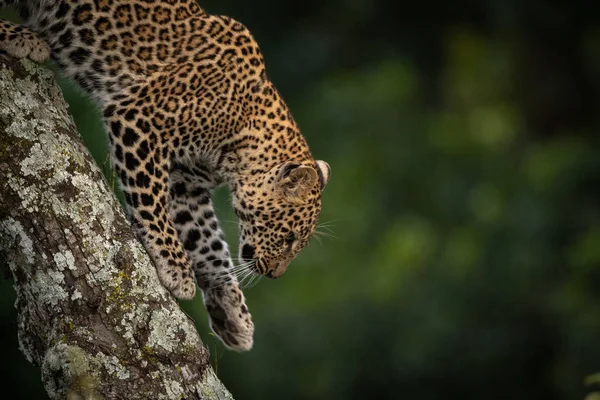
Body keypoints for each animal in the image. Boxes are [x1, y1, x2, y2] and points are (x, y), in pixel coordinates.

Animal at [0, 0, 330, 350]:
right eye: (289, 237)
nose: (275, 275)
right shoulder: (139, 119)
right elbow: (151, 199)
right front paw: (176, 268)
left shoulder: (185, 183)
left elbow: (209, 243)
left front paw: (231, 312)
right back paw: (23, 38)